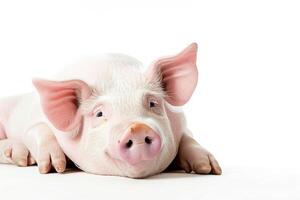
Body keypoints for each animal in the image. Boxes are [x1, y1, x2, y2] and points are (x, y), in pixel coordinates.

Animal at [0, 43, 220, 178]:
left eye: (153, 103)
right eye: (99, 114)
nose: (137, 128)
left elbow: (189, 137)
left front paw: (209, 168)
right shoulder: (34, 121)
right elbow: (36, 130)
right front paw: (54, 168)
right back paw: (20, 158)